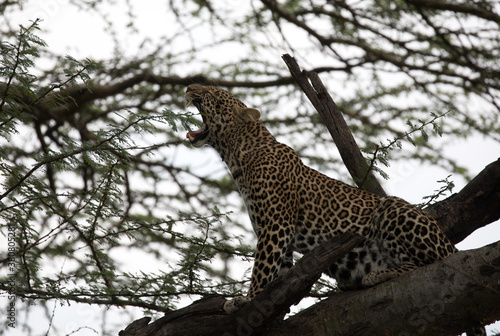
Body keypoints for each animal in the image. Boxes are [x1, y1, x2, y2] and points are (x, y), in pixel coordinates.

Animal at [184, 84, 484, 336]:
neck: (236, 155)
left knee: (430, 264)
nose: (189, 87)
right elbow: (278, 277)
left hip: (394, 211)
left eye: (212, 92)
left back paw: (378, 274)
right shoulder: (281, 236)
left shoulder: (275, 226)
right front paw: (270, 312)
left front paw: (246, 300)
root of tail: (449, 244)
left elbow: (262, 268)